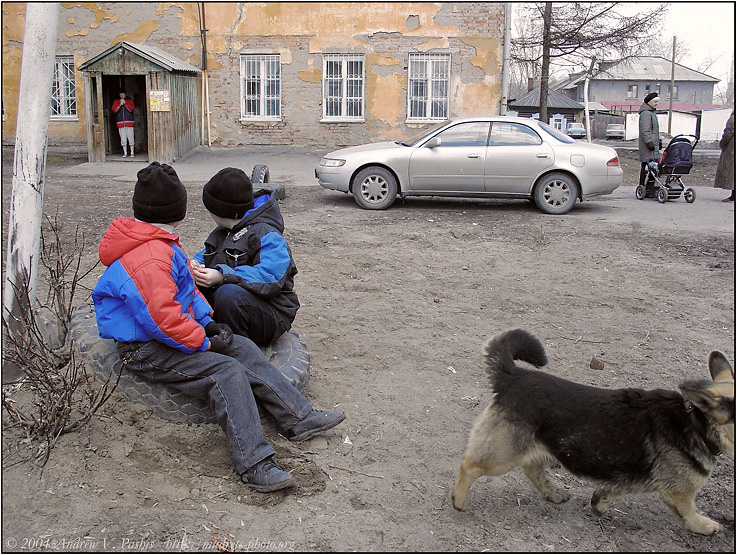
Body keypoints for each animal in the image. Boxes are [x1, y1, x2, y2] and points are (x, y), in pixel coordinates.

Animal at [452, 330, 732, 536]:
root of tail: (515, 375)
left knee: (532, 468)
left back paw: (553, 493)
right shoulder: (680, 493)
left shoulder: (625, 477)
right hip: (502, 455)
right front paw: (705, 526)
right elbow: (690, 512)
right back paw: (458, 500)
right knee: (469, 466)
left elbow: (608, 492)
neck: (695, 420)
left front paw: (599, 504)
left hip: (541, 446)